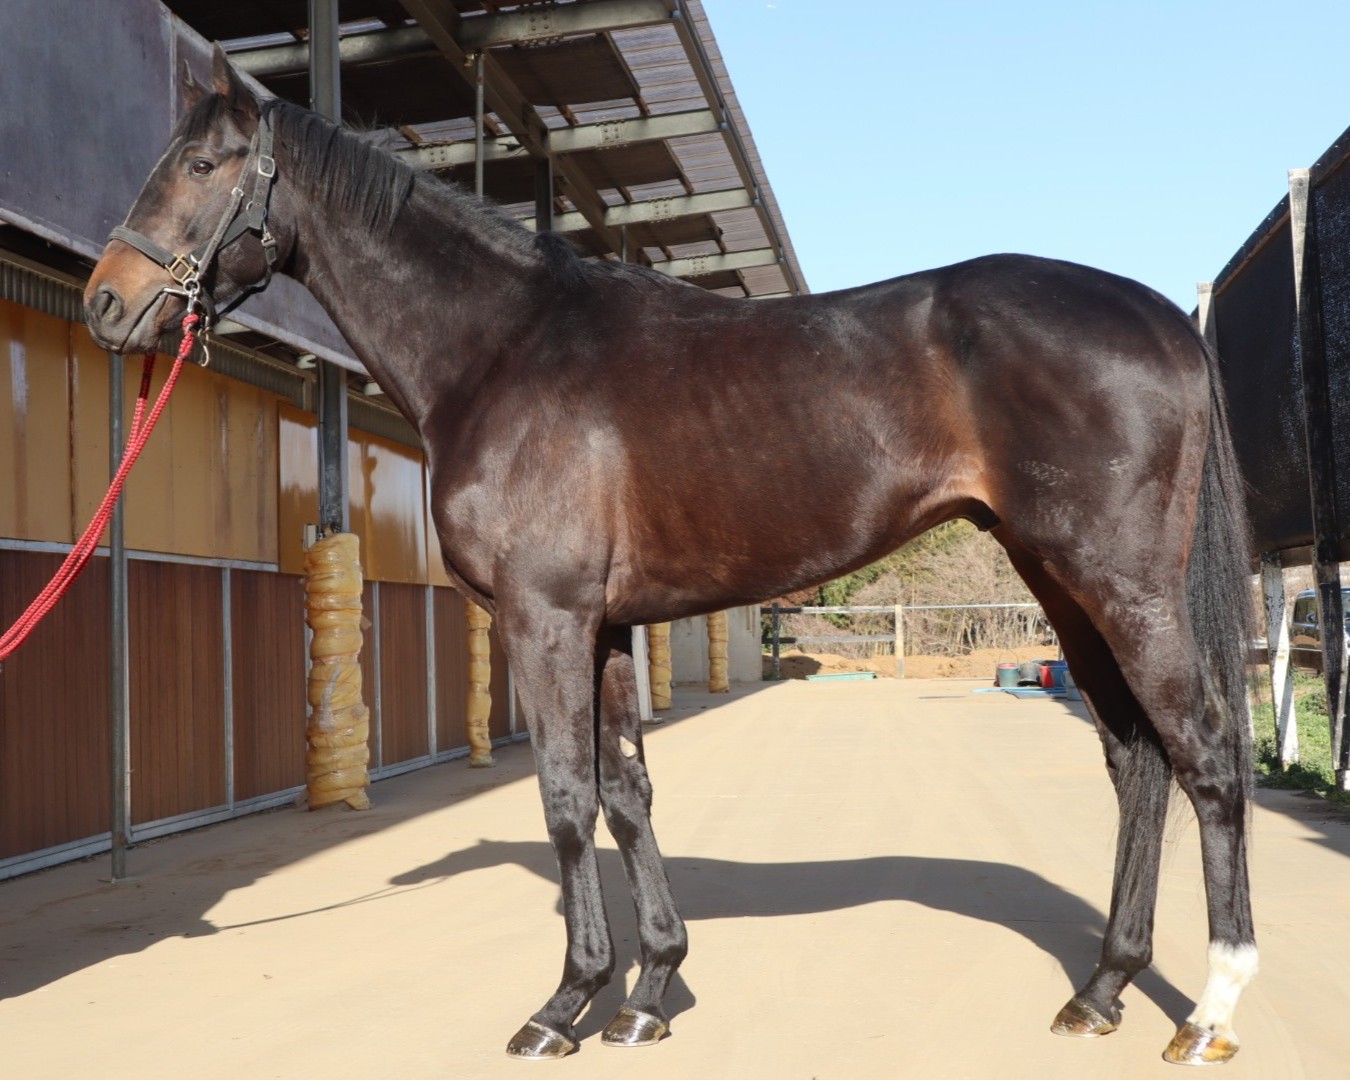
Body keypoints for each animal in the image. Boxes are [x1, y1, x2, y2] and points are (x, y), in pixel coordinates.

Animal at [84, 45, 1257, 1067]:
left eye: (200, 165)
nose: (106, 302)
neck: (502, 350)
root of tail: (1162, 318)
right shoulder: (603, 625)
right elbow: (626, 794)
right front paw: (648, 992)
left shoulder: (545, 616)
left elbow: (565, 797)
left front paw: (563, 1005)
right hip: (1062, 583)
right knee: (1136, 759)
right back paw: (1101, 990)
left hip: (1123, 585)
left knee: (1201, 749)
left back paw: (1209, 1008)